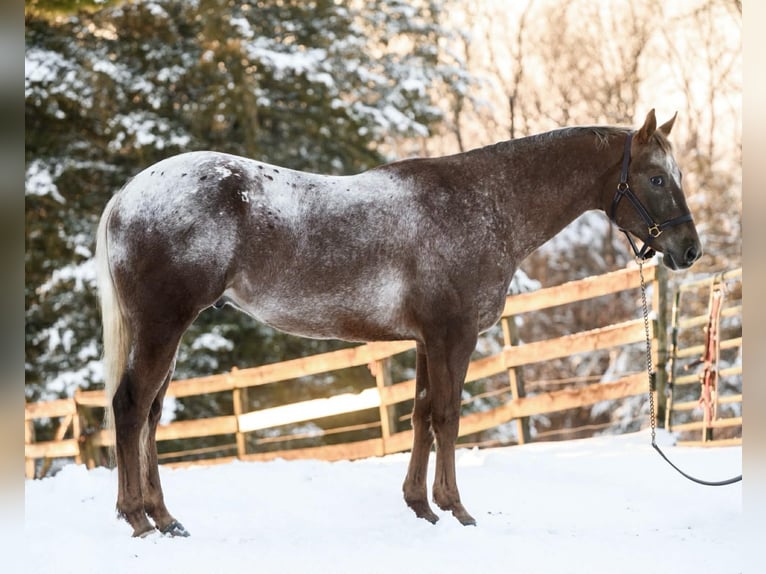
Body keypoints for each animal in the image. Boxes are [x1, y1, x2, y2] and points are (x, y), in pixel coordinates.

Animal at [96, 109, 701, 537]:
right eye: (655, 178)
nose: (689, 249)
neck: (484, 203)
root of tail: (129, 194)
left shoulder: (424, 341)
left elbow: (420, 416)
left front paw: (421, 507)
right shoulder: (453, 336)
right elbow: (449, 417)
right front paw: (457, 509)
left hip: (168, 331)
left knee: (150, 414)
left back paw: (165, 519)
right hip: (163, 325)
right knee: (130, 407)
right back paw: (137, 518)